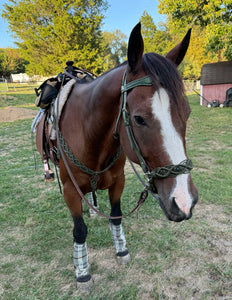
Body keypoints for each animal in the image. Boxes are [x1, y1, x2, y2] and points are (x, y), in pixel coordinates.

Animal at [54, 22, 198, 290]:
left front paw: (121, 250)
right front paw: (82, 271)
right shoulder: (69, 188)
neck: (90, 133)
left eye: (187, 112)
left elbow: (116, 218)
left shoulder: (117, 181)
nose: (184, 201)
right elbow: (79, 230)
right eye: (139, 119)